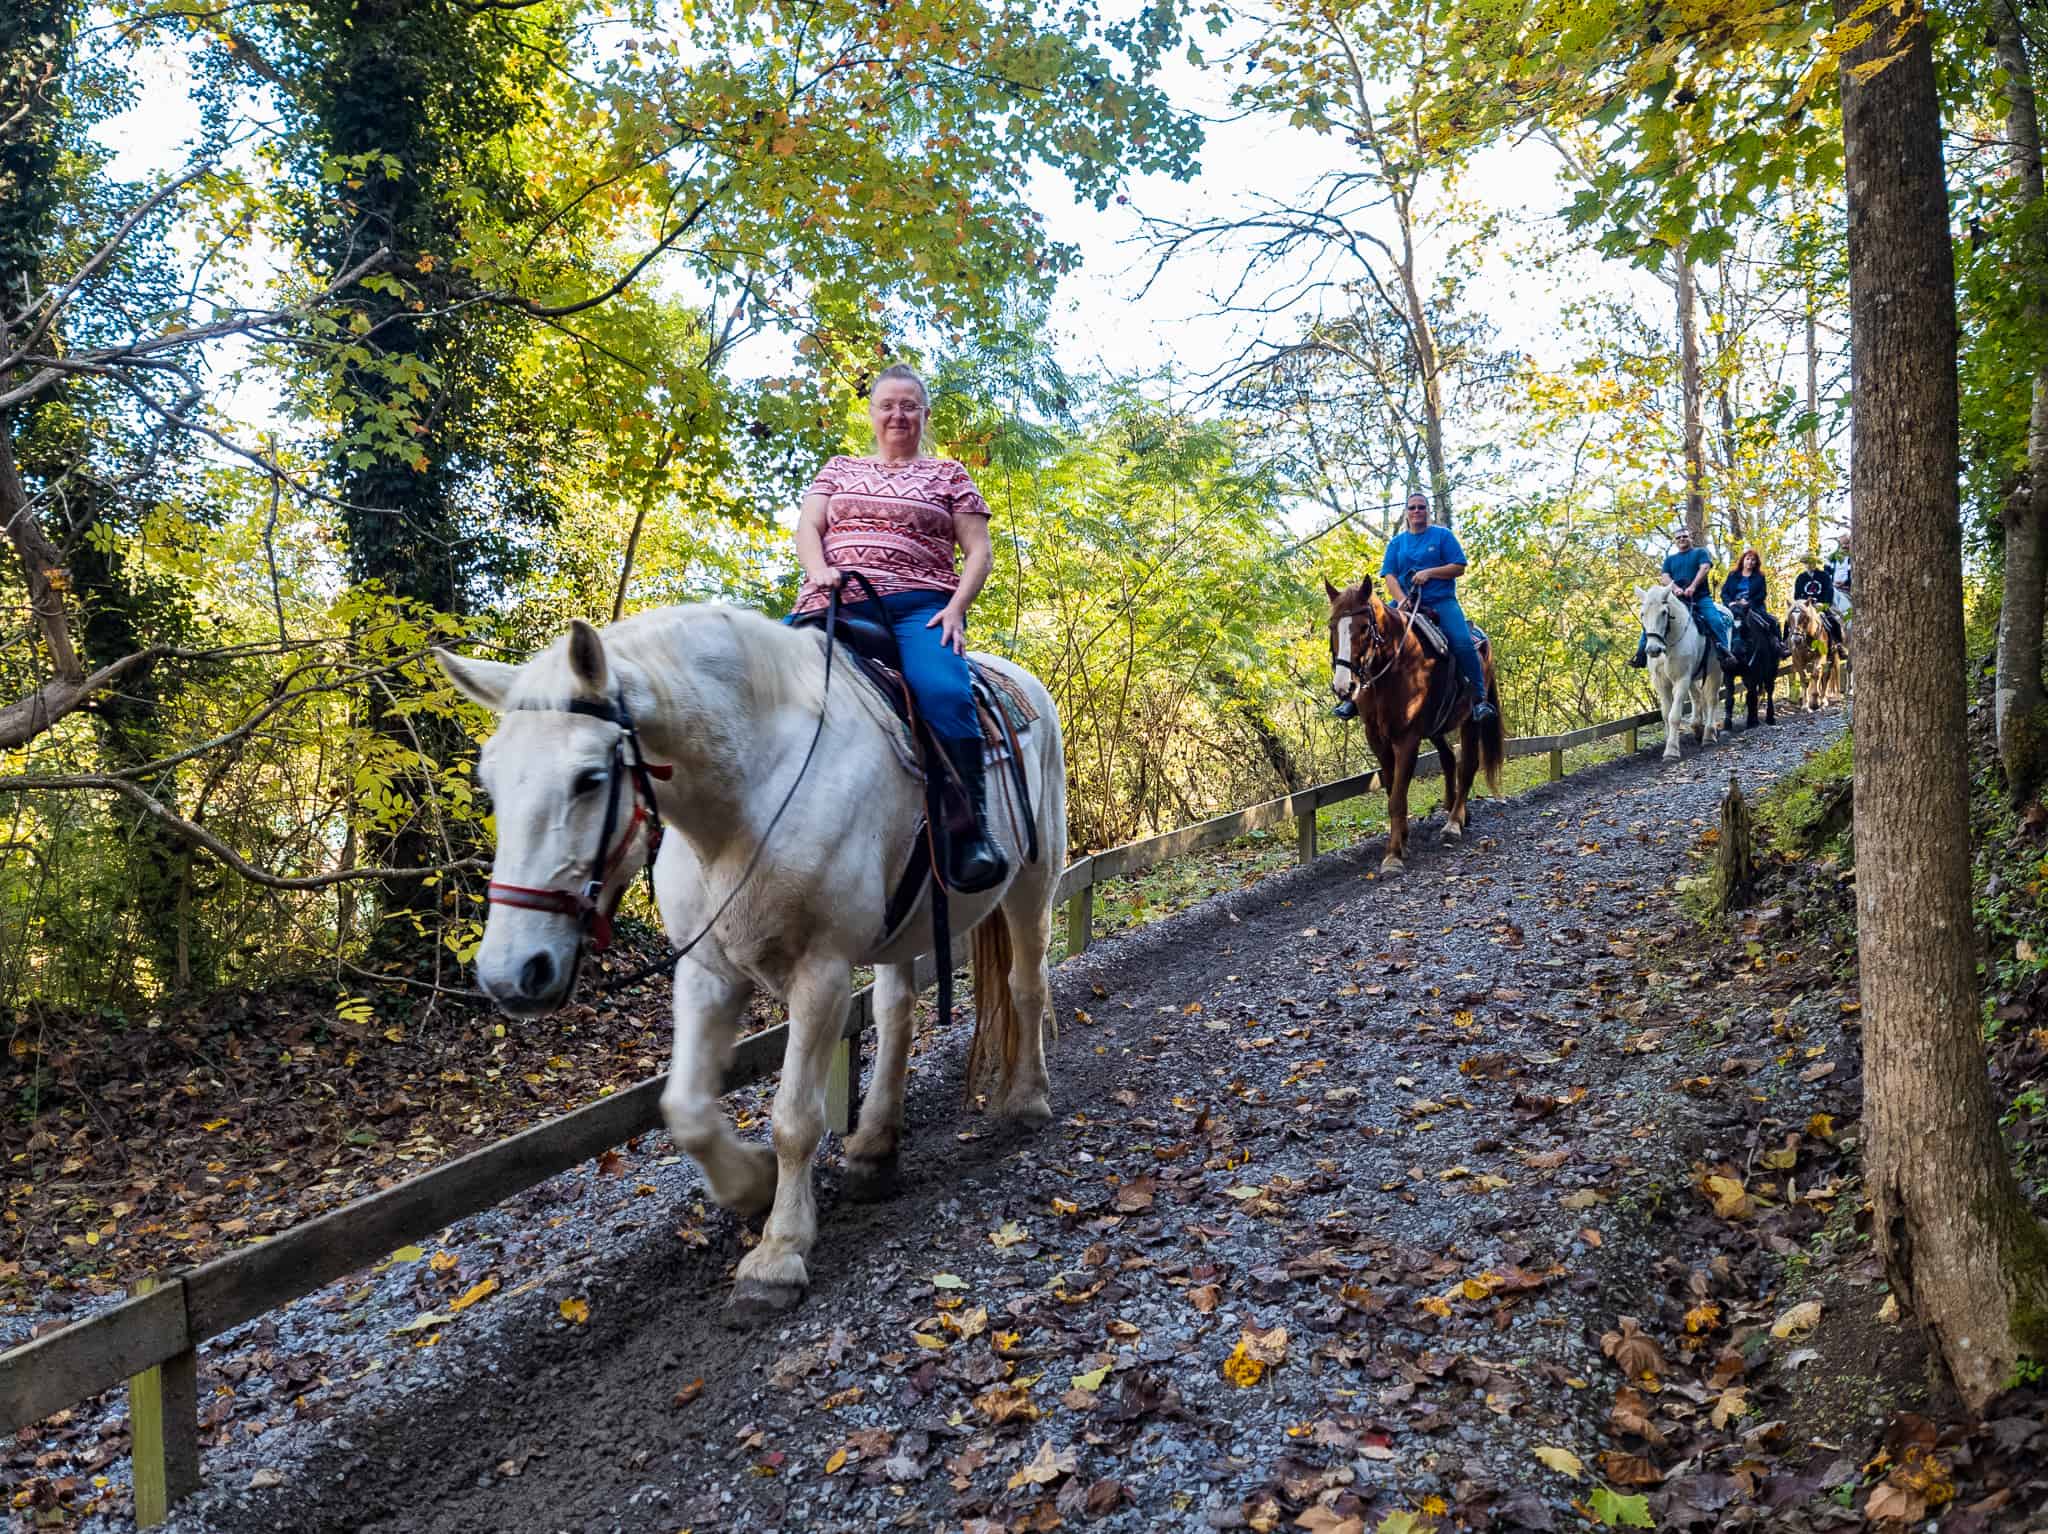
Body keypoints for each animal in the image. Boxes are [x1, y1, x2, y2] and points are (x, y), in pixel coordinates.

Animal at [436, 606, 1073, 1318]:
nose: (510, 973)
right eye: (489, 781)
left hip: (1032, 882)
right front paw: (751, 1185)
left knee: (1026, 984)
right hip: (900, 927)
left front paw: (778, 1254)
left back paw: (1027, 1099)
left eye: (589, 778)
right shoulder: (706, 973)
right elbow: (685, 1109)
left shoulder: (821, 974)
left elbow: (795, 1119)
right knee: (896, 1012)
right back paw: (874, 1147)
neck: (751, 790)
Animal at [1327, 573, 1507, 868]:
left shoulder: (1407, 738)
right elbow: (1393, 791)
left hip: (1470, 721)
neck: (1393, 669)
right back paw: (1456, 811)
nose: (1344, 686)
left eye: (1364, 627)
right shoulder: (1377, 739)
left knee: (1467, 765)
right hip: (1435, 727)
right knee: (1448, 759)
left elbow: (1397, 798)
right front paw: (1402, 839)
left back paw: (1454, 822)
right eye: (1332, 626)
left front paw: (1392, 855)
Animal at [1638, 581, 1720, 757]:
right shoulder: (1661, 682)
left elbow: (1674, 716)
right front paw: (1670, 742)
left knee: (1711, 699)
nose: (1653, 649)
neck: (1667, 645)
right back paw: (1697, 727)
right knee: (1698, 697)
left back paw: (1709, 735)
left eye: (1664, 612)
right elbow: (1665, 714)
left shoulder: (1682, 679)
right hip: (1694, 676)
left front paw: (1671, 751)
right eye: (1642, 614)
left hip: (1716, 670)